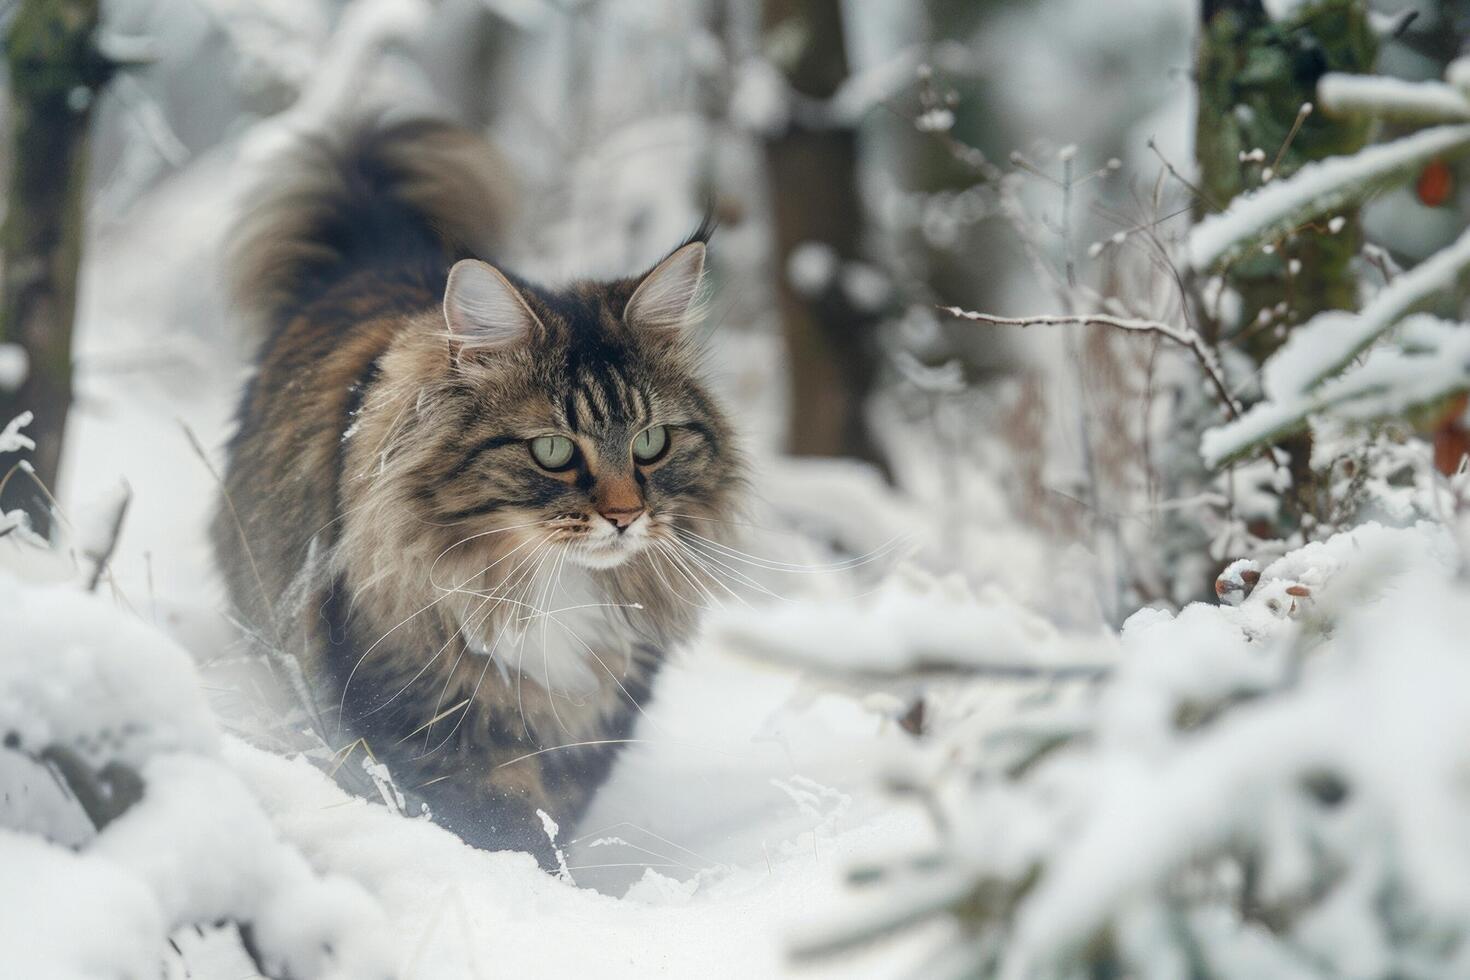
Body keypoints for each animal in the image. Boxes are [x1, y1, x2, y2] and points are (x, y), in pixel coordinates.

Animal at [214, 119, 746, 869]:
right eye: (553, 451)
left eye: (650, 443)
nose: (625, 516)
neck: (551, 585)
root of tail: (380, 254)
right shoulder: (427, 714)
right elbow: (502, 826)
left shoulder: (594, 722)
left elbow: (554, 817)